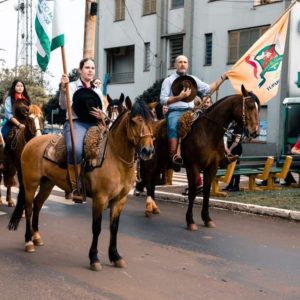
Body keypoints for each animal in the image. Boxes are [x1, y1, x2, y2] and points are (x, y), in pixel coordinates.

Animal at [8, 100, 155, 272]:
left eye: (152, 121)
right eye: (133, 121)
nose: (147, 151)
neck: (115, 157)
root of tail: (31, 142)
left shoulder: (120, 200)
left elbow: (114, 228)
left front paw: (115, 256)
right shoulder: (100, 198)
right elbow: (97, 227)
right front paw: (94, 258)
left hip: (47, 183)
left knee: (37, 205)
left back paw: (36, 237)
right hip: (30, 183)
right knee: (29, 208)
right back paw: (28, 242)